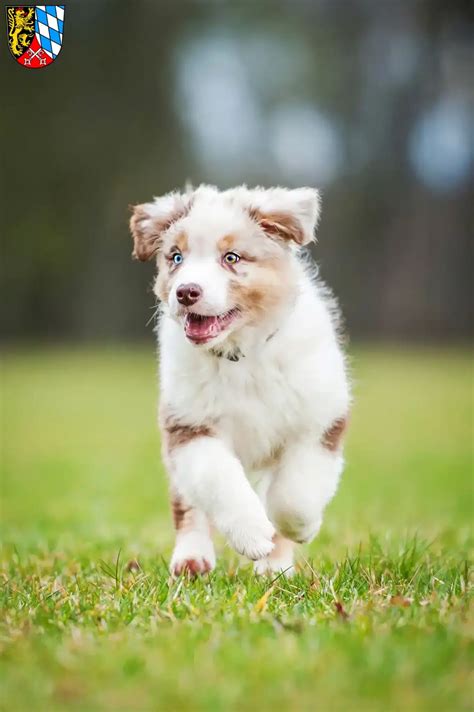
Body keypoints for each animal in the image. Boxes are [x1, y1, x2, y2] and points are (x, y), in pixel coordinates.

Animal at [131, 186, 350, 576]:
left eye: (231, 257)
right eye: (176, 257)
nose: (186, 291)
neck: (241, 355)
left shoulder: (319, 420)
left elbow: (294, 493)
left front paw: (299, 528)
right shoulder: (188, 426)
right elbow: (218, 478)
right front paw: (252, 535)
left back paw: (275, 568)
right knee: (188, 504)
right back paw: (192, 558)